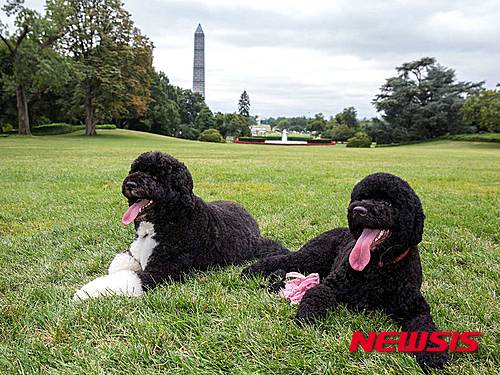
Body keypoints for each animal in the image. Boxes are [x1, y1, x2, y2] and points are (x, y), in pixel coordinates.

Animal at [242, 173, 450, 370]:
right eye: (362, 197)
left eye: (388, 202)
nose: (358, 210)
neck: (378, 267)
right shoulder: (331, 286)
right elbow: (316, 295)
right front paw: (306, 317)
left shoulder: (415, 308)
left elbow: (425, 327)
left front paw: (433, 355)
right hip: (310, 258)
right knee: (282, 259)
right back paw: (250, 271)